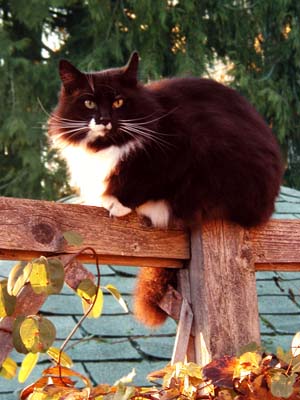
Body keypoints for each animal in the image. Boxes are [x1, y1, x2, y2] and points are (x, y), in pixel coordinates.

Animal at [48, 51, 282, 326]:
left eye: (118, 102)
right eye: (88, 104)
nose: (105, 119)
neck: (108, 145)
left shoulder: (182, 150)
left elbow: (149, 181)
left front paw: (117, 204)